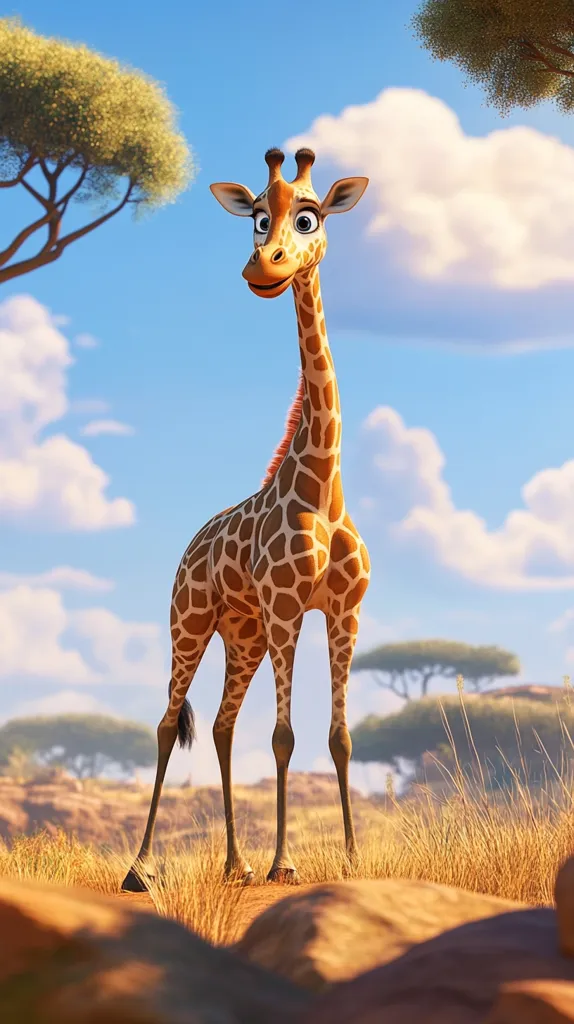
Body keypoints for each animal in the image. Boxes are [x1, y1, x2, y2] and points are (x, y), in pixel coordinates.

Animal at [121, 147, 371, 891]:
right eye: (258, 217)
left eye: (310, 216)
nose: (265, 267)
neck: (323, 490)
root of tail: (189, 545)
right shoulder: (289, 609)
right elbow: (284, 737)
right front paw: (286, 864)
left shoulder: (343, 612)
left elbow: (339, 737)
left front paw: (351, 859)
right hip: (191, 621)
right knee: (166, 720)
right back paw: (140, 868)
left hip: (244, 635)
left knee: (222, 726)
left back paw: (236, 864)